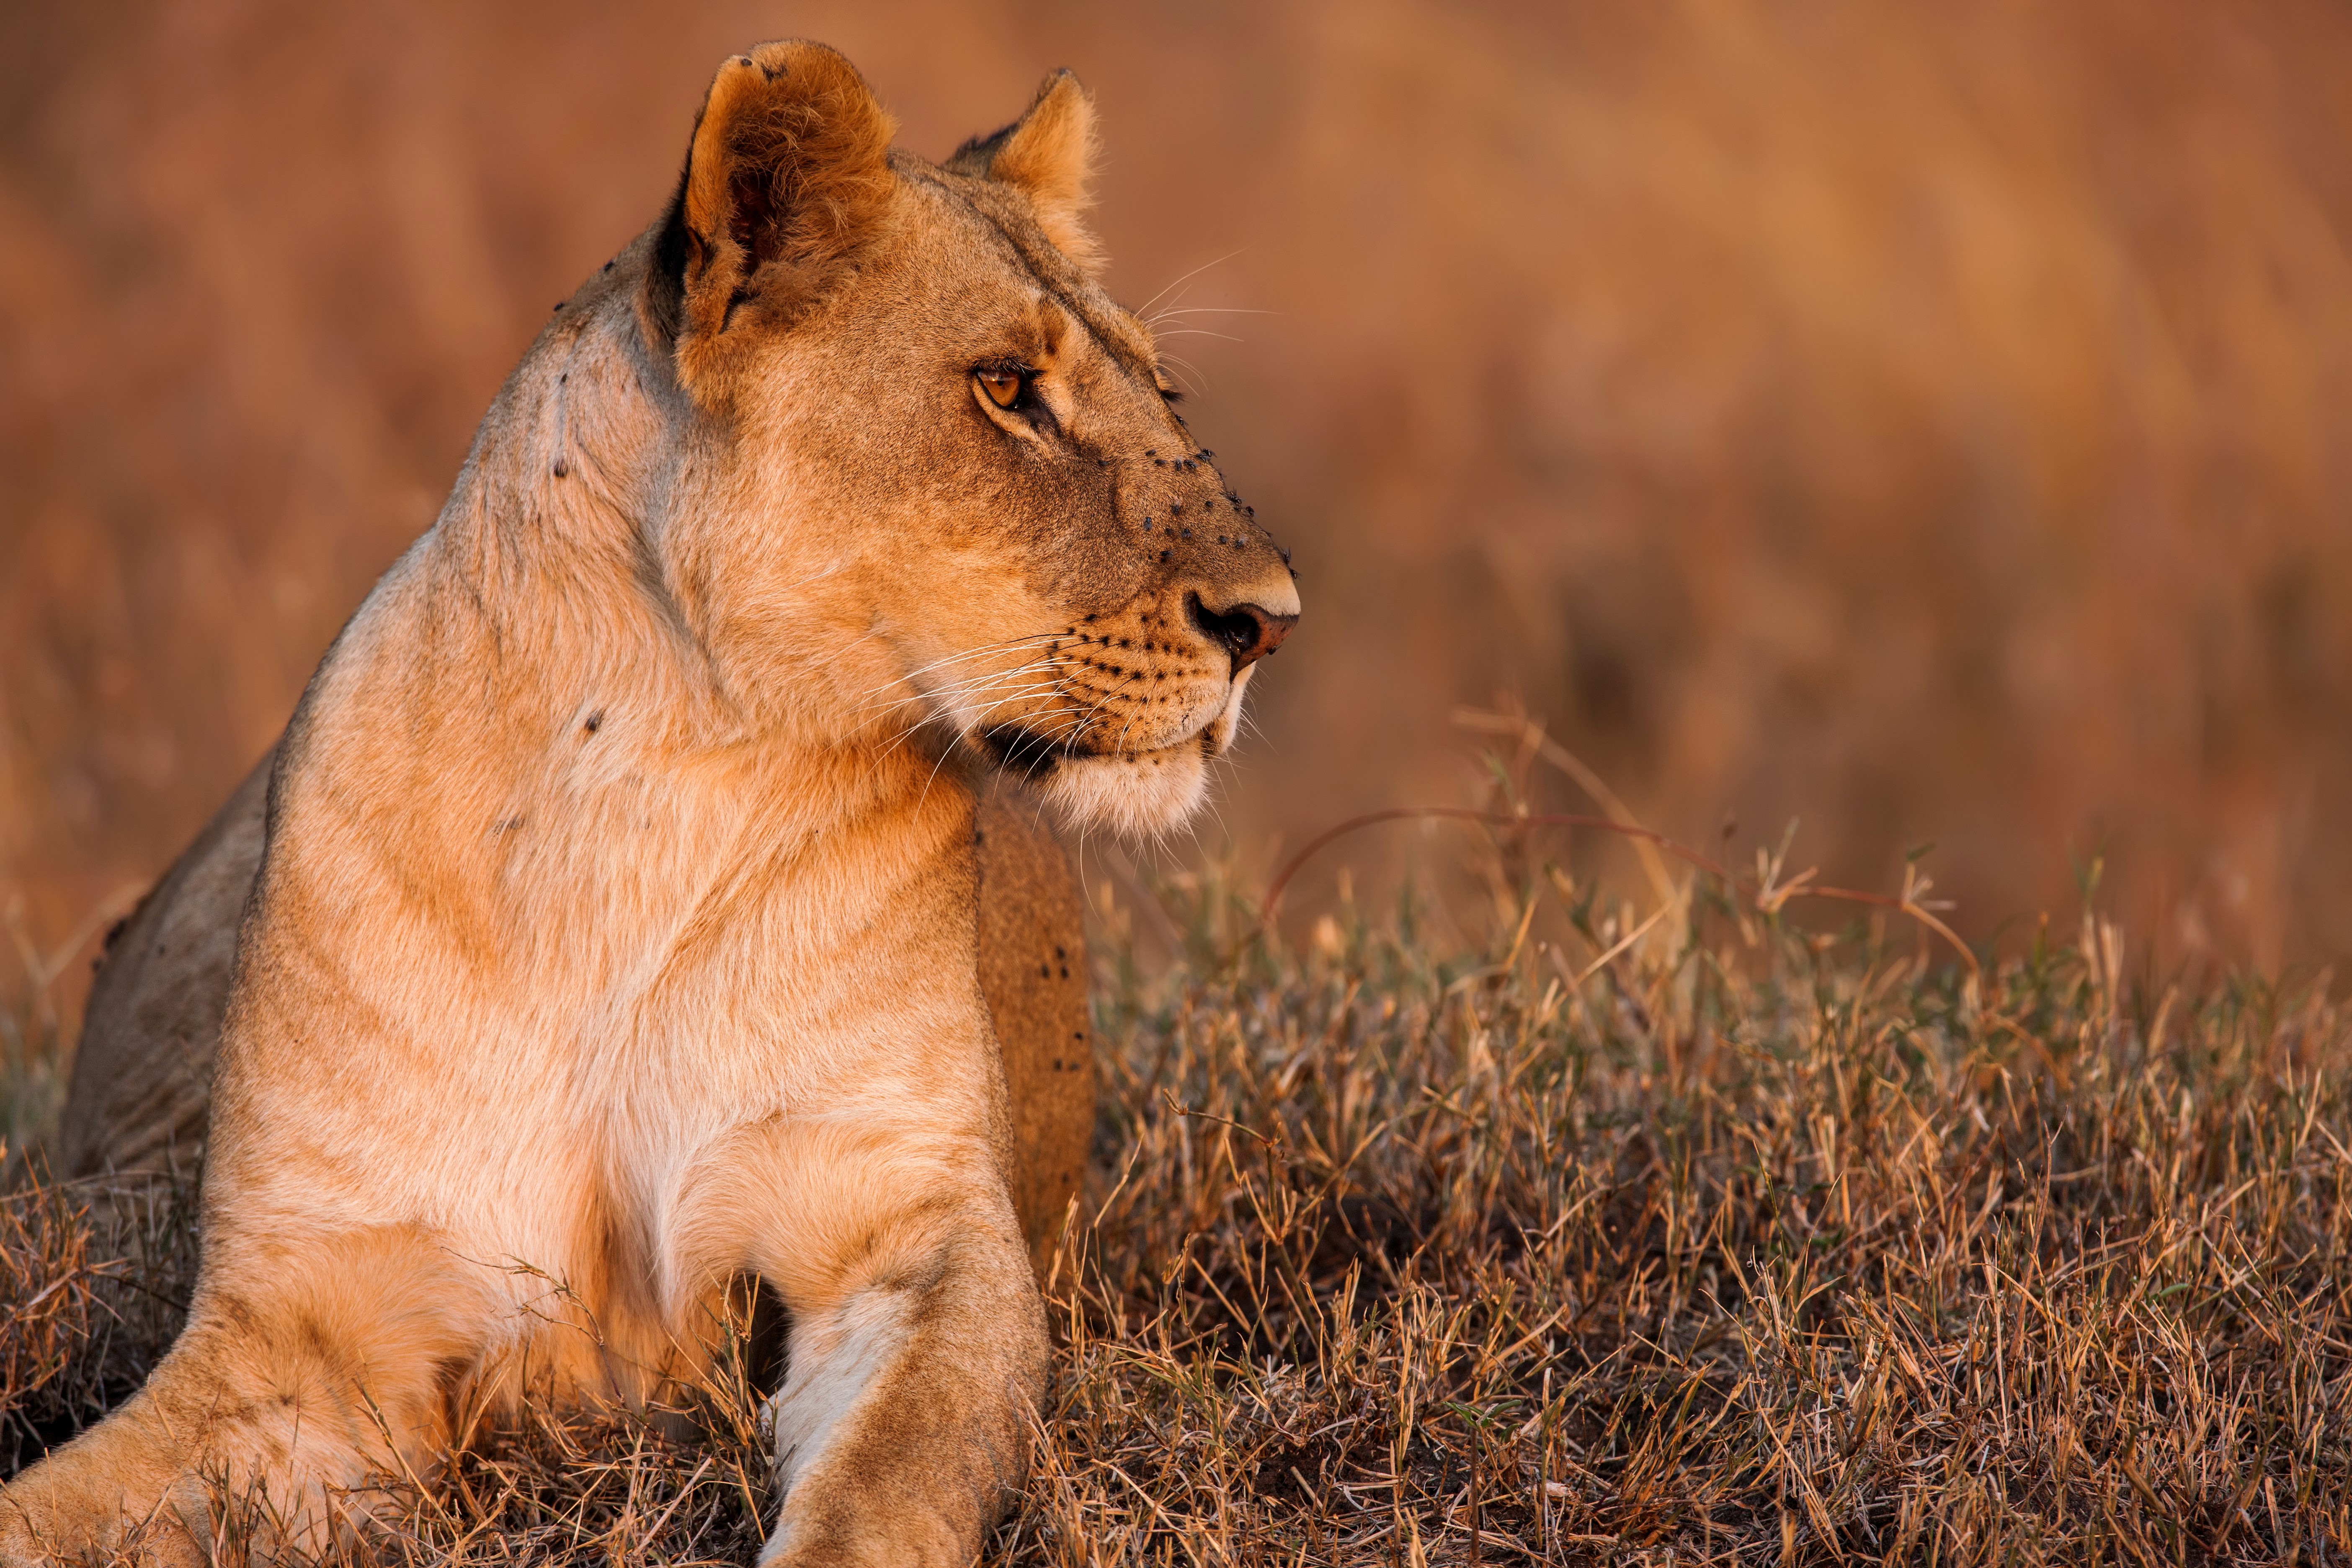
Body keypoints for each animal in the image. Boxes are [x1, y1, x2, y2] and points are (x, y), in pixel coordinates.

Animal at [3, 40, 1297, 1566]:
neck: (653, 783)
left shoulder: (912, 1232)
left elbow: (884, 1487)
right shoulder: (308, 1335)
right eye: (1005, 387)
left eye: (1166, 398)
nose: (1269, 620)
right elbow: (46, 1507)